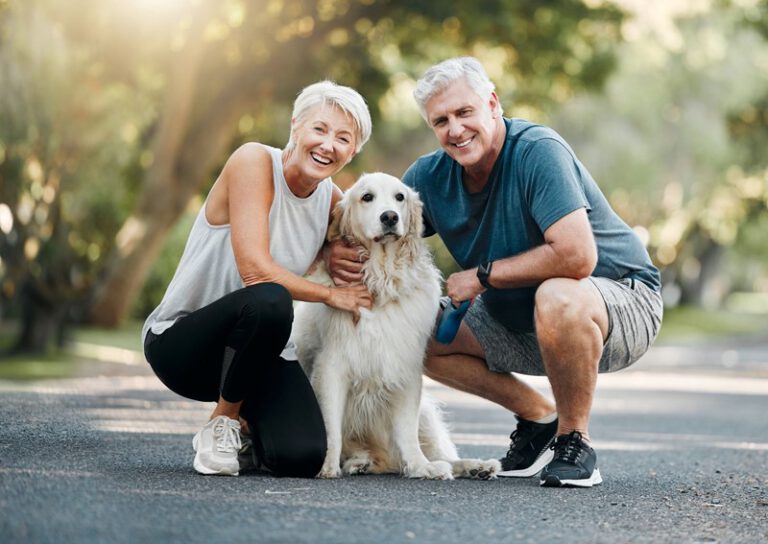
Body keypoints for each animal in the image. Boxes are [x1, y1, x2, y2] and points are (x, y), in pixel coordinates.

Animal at [292, 171, 500, 480]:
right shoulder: (332, 366)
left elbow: (407, 432)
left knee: (438, 454)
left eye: (399, 197)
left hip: (426, 415)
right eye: (367, 197)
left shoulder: (406, 368)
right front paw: (326, 466)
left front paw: (420, 466)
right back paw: (359, 461)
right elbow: (330, 427)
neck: (382, 280)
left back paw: (474, 466)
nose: (389, 217)